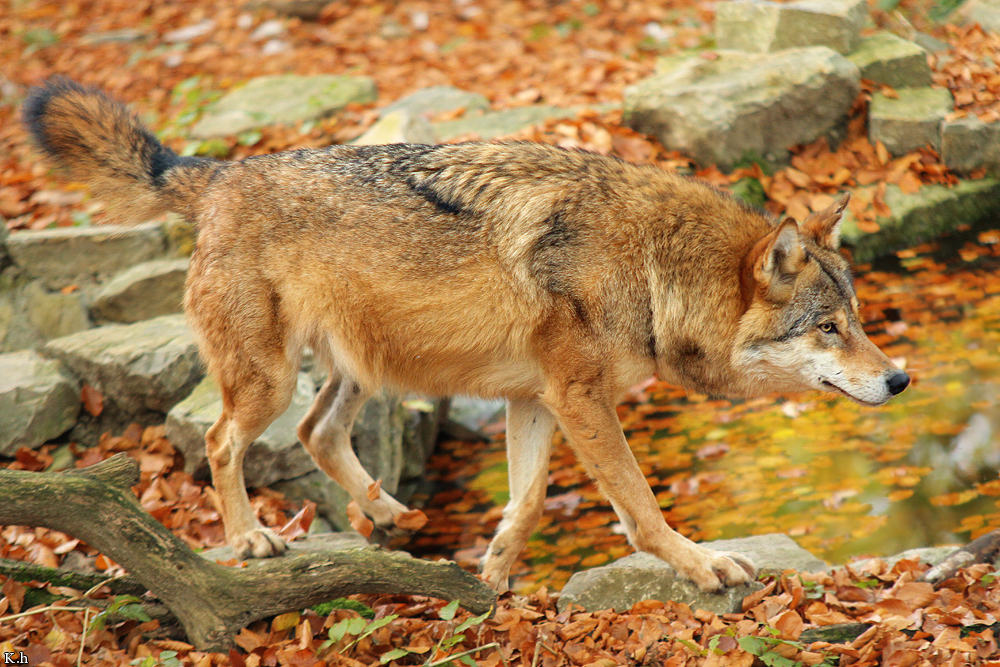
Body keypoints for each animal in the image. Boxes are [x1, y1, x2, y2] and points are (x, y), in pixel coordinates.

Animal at [23, 78, 909, 595]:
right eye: (828, 328)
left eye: (860, 320)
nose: (900, 379)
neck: (652, 262)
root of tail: (216, 172)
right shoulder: (580, 397)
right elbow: (639, 510)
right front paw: (708, 565)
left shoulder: (539, 398)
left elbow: (527, 500)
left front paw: (496, 569)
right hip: (268, 377)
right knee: (219, 440)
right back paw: (252, 538)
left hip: (356, 372)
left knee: (315, 432)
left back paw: (394, 515)